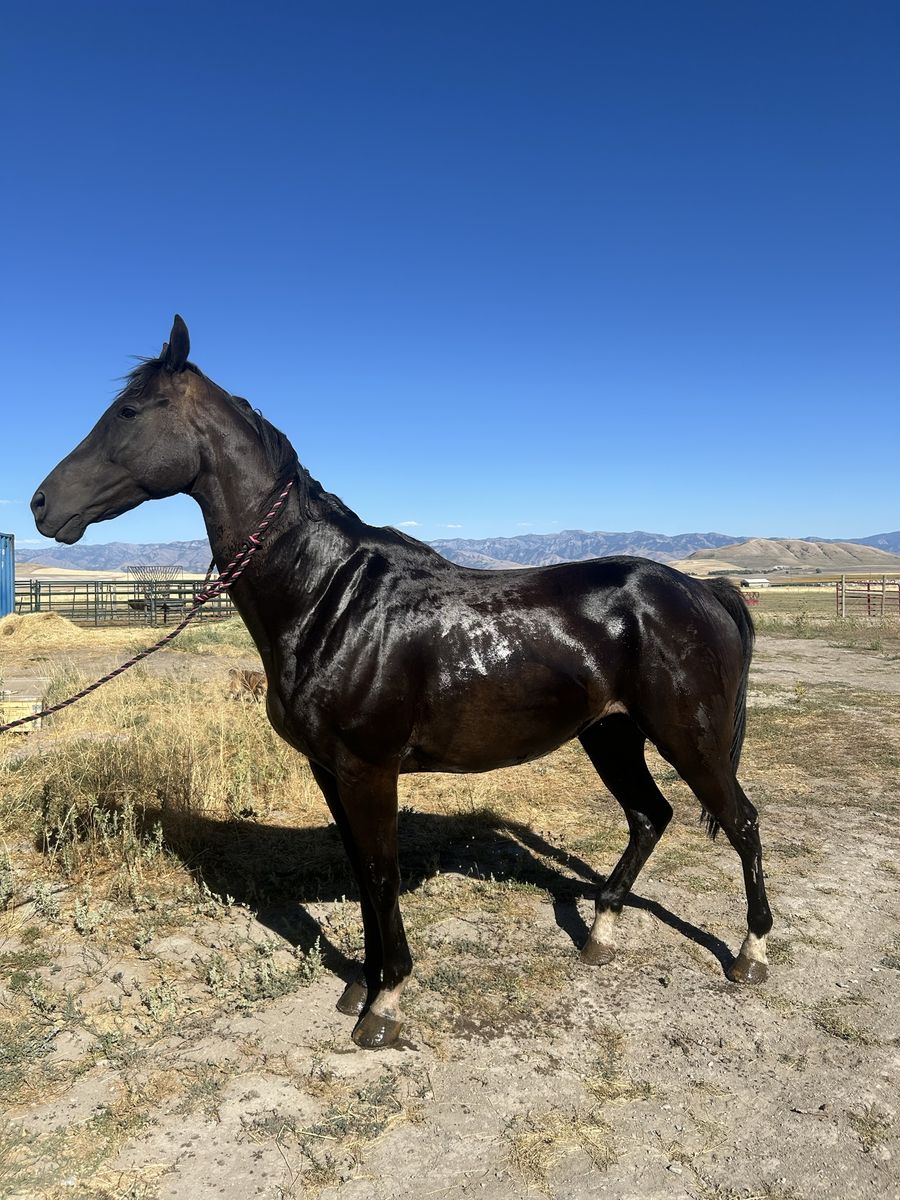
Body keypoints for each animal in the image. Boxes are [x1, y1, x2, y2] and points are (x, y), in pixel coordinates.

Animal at [32, 315, 772, 1049]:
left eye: (128, 412)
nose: (42, 504)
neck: (330, 598)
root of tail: (703, 589)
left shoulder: (369, 768)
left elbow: (381, 872)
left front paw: (385, 1002)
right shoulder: (331, 769)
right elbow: (362, 872)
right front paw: (360, 984)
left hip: (687, 736)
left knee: (739, 820)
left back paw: (750, 954)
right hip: (611, 734)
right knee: (650, 816)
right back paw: (600, 934)